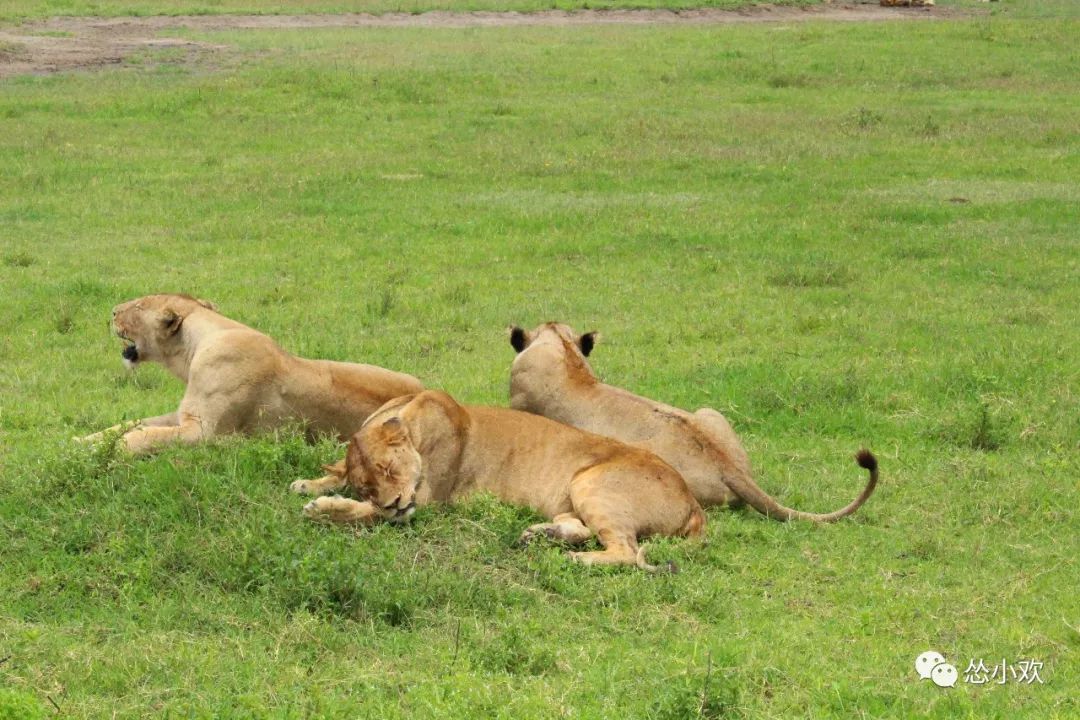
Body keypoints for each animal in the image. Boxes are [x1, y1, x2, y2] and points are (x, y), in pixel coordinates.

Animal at [78, 293, 423, 453]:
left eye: (138, 306)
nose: (112, 311)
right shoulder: (182, 415)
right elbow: (128, 424)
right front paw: (81, 441)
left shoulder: (205, 432)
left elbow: (144, 435)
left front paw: (108, 450)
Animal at [291, 390, 704, 569]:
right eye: (368, 487)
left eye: (390, 470)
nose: (394, 502)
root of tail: (692, 500)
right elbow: (339, 476)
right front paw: (308, 485)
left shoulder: (425, 502)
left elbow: (367, 515)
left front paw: (322, 509)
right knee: (583, 528)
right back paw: (540, 536)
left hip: (589, 482)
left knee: (626, 551)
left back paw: (576, 559)